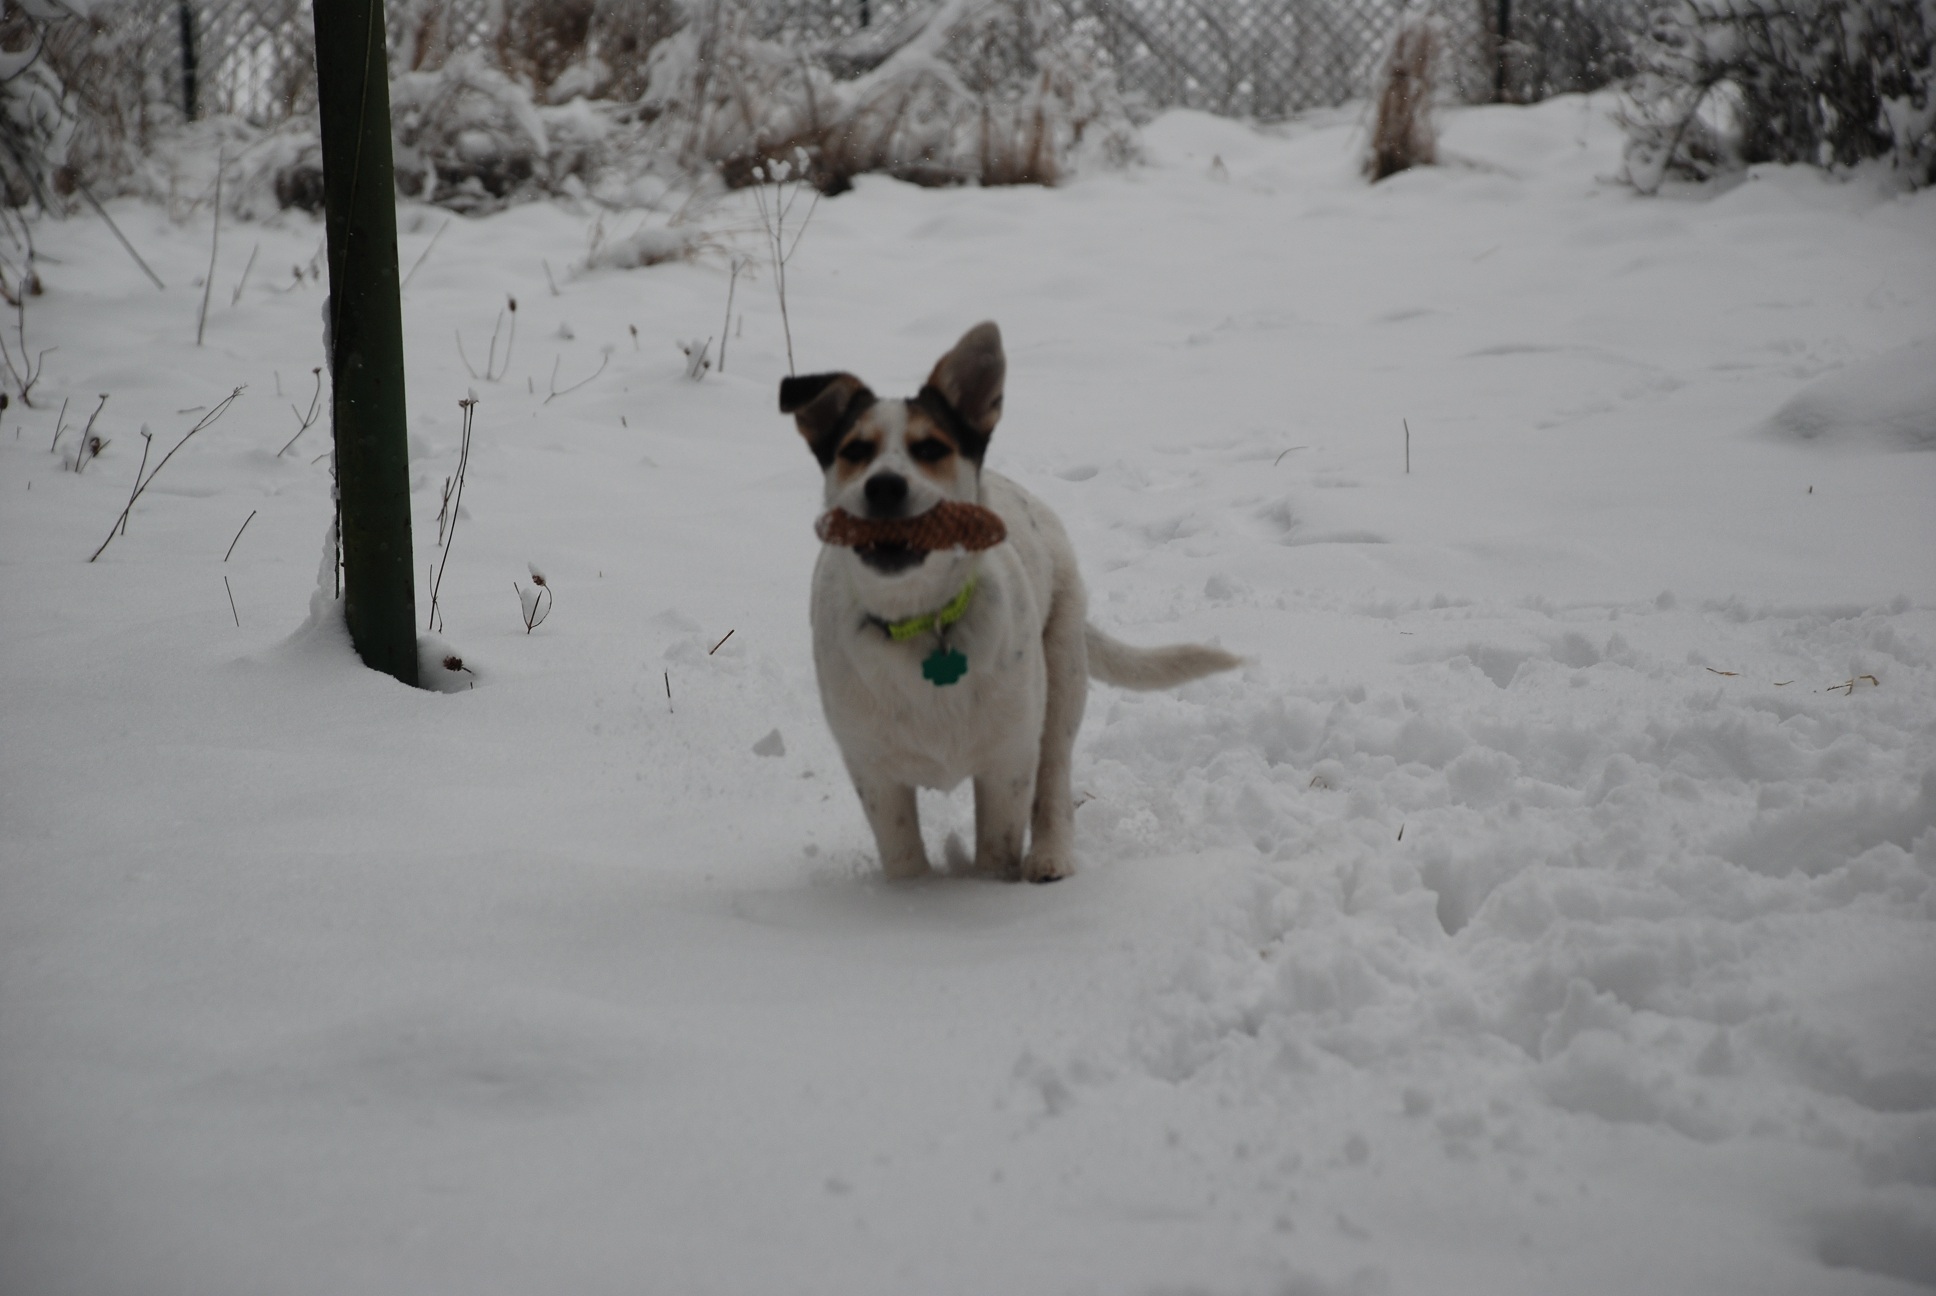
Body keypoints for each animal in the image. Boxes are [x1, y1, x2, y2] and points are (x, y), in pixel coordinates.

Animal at [774, 325, 1239, 879]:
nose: (885, 486)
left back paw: (1050, 856)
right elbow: (905, 857)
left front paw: (992, 891)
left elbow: (998, 848)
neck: (922, 619)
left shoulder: (1007, 763)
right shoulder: (875, 773)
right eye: (855, 449)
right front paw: (913, 898)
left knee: (1055, 777)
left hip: (1061, 680)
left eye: (931, 447)